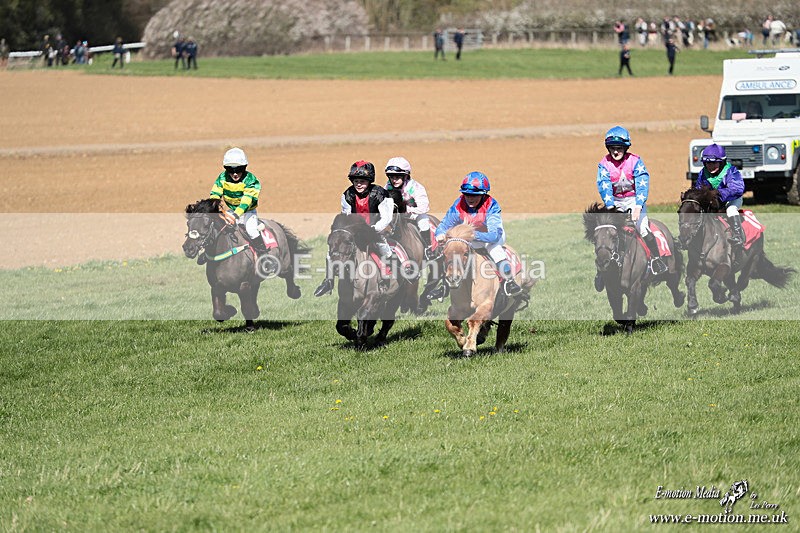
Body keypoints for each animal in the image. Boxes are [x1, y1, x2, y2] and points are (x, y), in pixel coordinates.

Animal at [182, 198, 308, 331]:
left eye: (206, 225)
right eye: (188, 224)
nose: (188, 248)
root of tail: (275, 224)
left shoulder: (244, 285)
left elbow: (246, 309)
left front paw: (250, 326)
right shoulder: (217, 287)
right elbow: (218, 313)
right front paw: (231, 310)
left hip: (282, 265)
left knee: (289, 272)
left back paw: (295, 292)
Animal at [326, 213, 406, 349]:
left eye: (348, 241)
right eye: (329, 243)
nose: (336, 267)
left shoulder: (373, 295)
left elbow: (363, 314)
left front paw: (360, 340)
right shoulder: (346, 301)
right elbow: (340, 325)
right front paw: (353, 333)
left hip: (397, 295)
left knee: (388, 319)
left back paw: (379, 340)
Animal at [440, 223, 534, 357]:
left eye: (465, 253)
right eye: (444, 253)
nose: (453, 278)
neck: (470, 285)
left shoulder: (486, 305)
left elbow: (474, 321)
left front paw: (469, 347)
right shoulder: (457, 309)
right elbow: (449, 322)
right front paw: (462, 340)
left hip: (509, 306)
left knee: (504, 327)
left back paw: (498, 349)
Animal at [583, 204, 685, 334]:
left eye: (614, 237)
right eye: (595, 239)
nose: (602, 263)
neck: (620, 264)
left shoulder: (634, 286)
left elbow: (631, 310)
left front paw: (629, 329)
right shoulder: (612, 289)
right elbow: (617, 314)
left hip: (670, 266)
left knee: (672, 282)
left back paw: (679, 300)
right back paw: (642, 308)